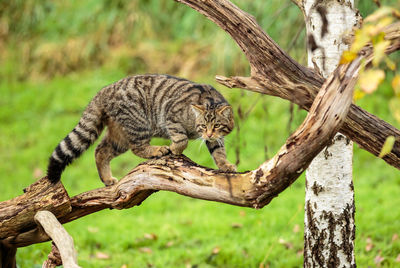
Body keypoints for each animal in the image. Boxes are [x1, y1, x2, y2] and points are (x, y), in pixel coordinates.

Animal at [47, 74, 234, 185]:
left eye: (217, 126)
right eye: (203, 126)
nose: (208, 133)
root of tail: (105, 90)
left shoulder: (216, 138)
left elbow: (219, 152)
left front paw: (225, 165)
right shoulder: (171, 115)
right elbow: (182, 139)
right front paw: (174, 149)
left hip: (120, 137)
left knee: (101, 150)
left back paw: (106, 178)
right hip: (140, 124)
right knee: (137, 147)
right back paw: (157, 150)